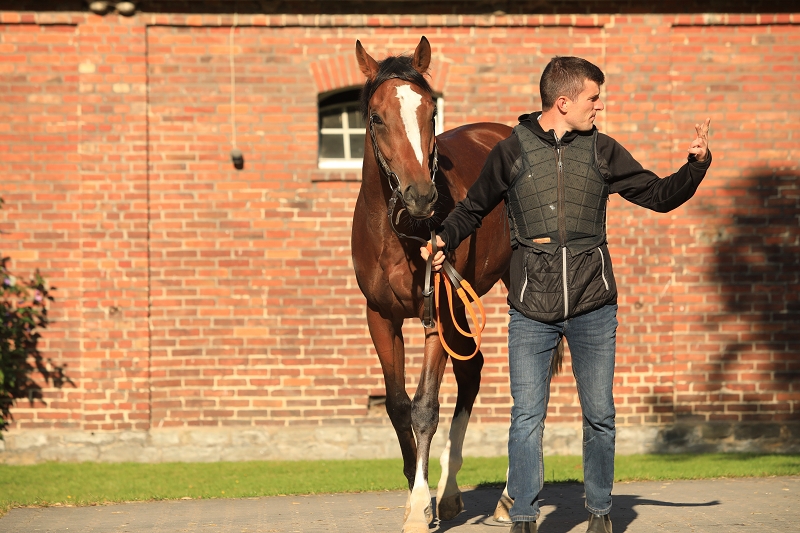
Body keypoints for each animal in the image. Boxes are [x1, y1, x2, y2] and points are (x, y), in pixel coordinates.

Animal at [351, 36, 513, 532]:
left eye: (431, 113)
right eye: (376, 116)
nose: (421, 196)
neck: (400, 232)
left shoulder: (434, 317)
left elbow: (424, 407)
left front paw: (420, 507)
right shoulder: (381, 318)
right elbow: (397, 405)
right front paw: (414, 491)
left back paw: (506, 497)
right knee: (472, 370)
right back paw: (452, 493)